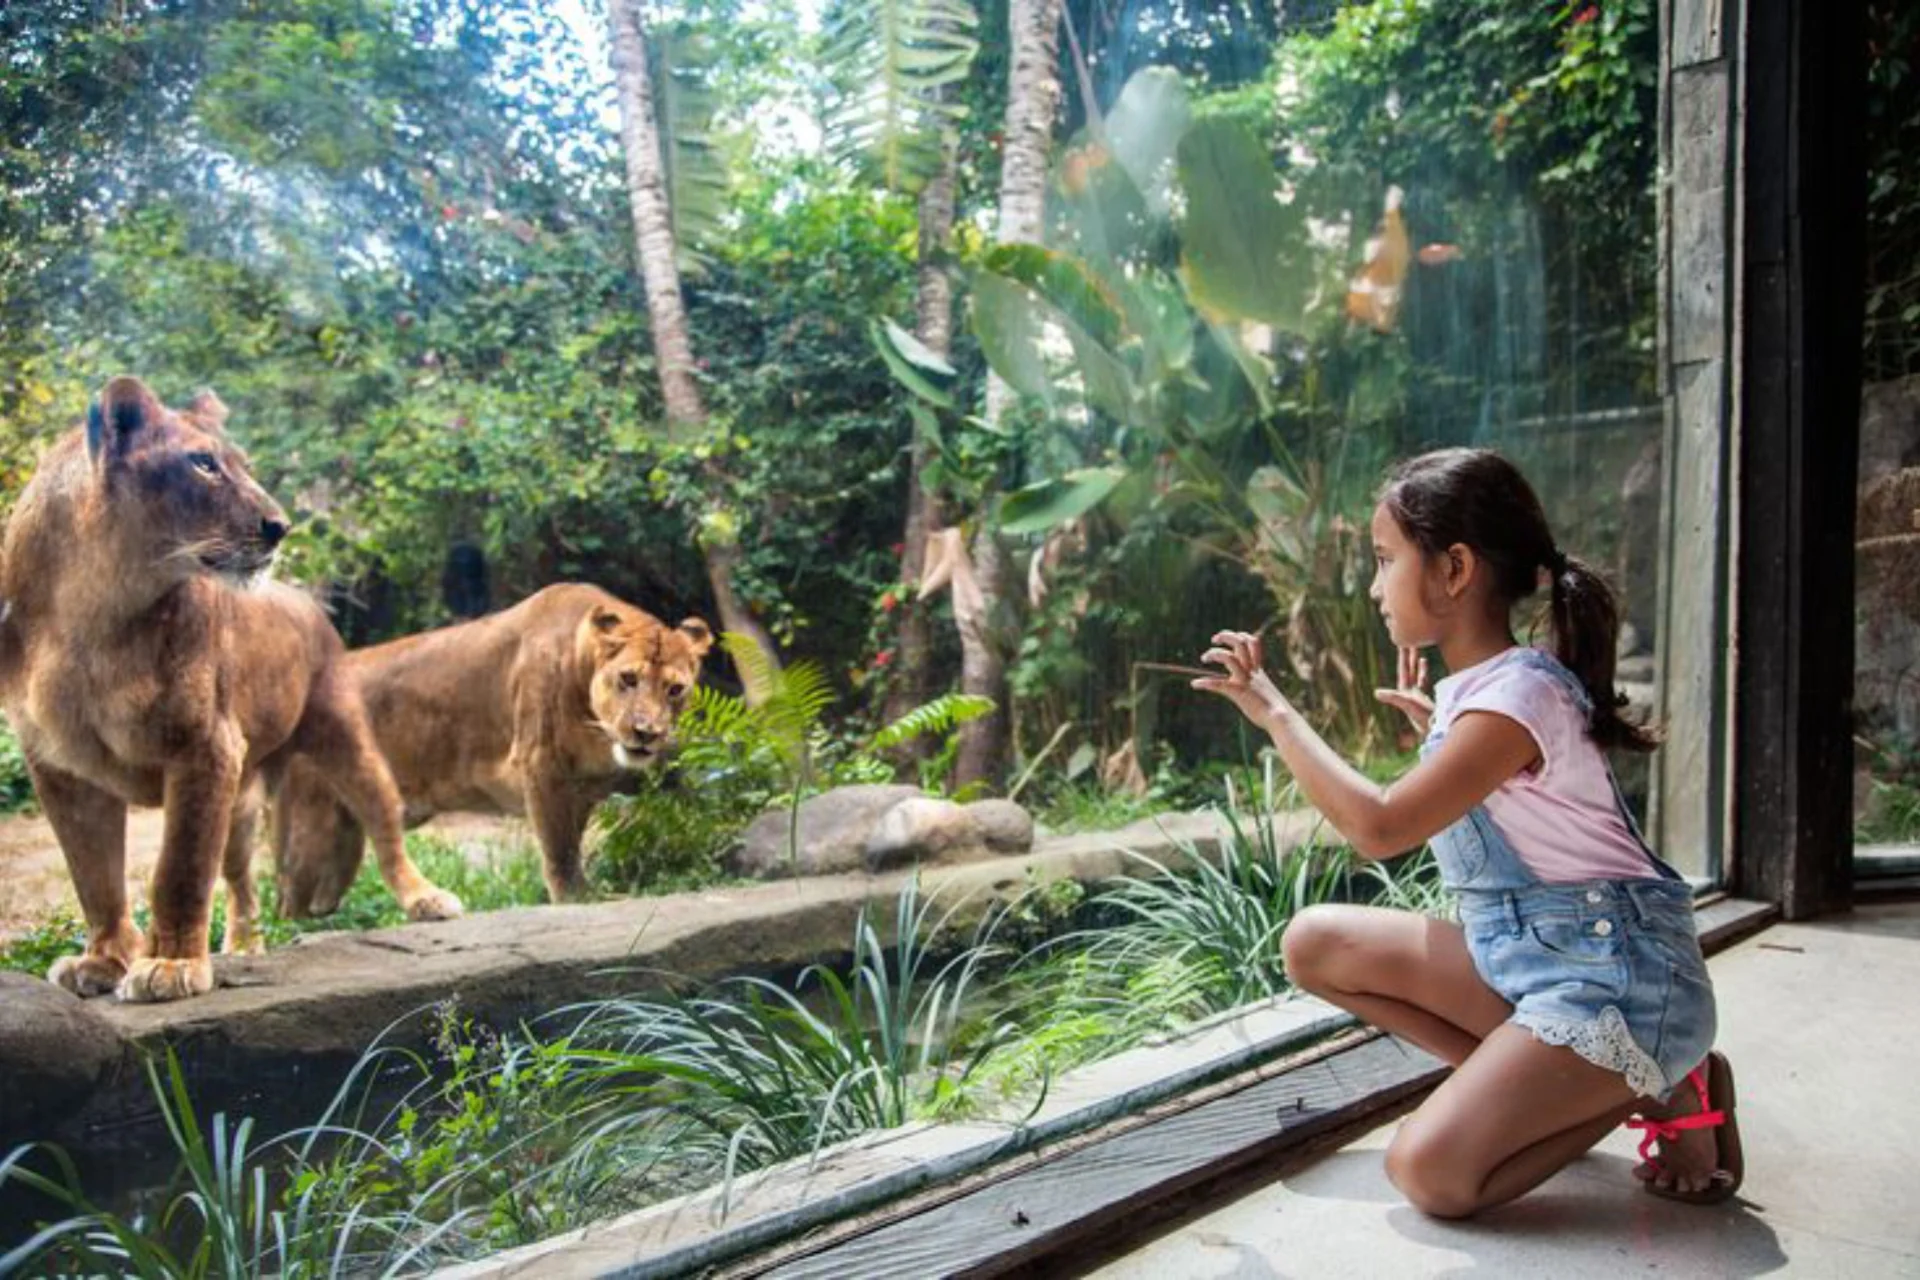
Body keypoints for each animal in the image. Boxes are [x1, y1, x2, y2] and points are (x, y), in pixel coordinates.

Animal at [0, 376, 464, 1003]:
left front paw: (169, 966)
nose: (280, 526)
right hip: (240, 803)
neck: (93, 609)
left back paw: (425, 898)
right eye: (203, 464)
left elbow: (179, 869)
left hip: (343, 738)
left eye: (244, 465)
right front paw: (104, 962)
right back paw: (242, 947)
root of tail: (305, 598)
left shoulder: (203, 746)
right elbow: (93, 875)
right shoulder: (60, 767)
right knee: (241, 880)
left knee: (382, 821)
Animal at [273, 583, 712, 907]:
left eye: (675, 690)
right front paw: (575, 901)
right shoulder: (540, 765)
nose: (646, 732)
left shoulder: (584, 786)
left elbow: (572, 841)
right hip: (312, 827)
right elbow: (560, 849)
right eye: (628, 679)